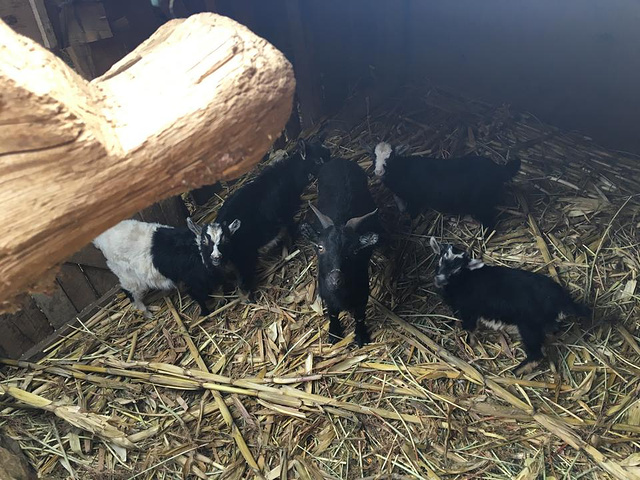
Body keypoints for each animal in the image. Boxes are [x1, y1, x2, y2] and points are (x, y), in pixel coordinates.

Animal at [93, 218, 229, 317]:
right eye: (205, 241)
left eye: (225, 239)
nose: (217, 257)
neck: (196, 251)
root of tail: (100, 240)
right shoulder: (192, 282)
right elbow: (200, 297)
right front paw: (206, 312)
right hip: (128, 276)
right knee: (130, 292)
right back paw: (147, 313)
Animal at [214, 139, 331, 297]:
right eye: (318, 160)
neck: (289, 174)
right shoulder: (286, 212)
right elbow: (289, 228)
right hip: (244, 258)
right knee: (243, 284)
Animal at [301, 158, 380, 347]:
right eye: (320, 247)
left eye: (354, 250)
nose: (335, 280)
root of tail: (339, 160)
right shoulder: (326, 293)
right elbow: (332, 313)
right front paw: (334, 333)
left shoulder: (362, 293)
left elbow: (360, 316)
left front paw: (361, 336)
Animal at [374, 142, 520, 230]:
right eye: (373, 156)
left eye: (391, 157)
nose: (378, 171)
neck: (403, 169)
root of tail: (498, 169)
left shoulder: (414, 199)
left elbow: (412, 213)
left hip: (483, 203)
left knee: (490, 223)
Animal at [429, 237, 591, 375]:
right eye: (441, 260)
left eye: (457, 269)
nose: (439, 279)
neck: (465, 279)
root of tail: (564, 301)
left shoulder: (470, 311)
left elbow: (470, 330)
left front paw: (470, 345)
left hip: (529, 327)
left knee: (536, 354)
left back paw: (516, 371)